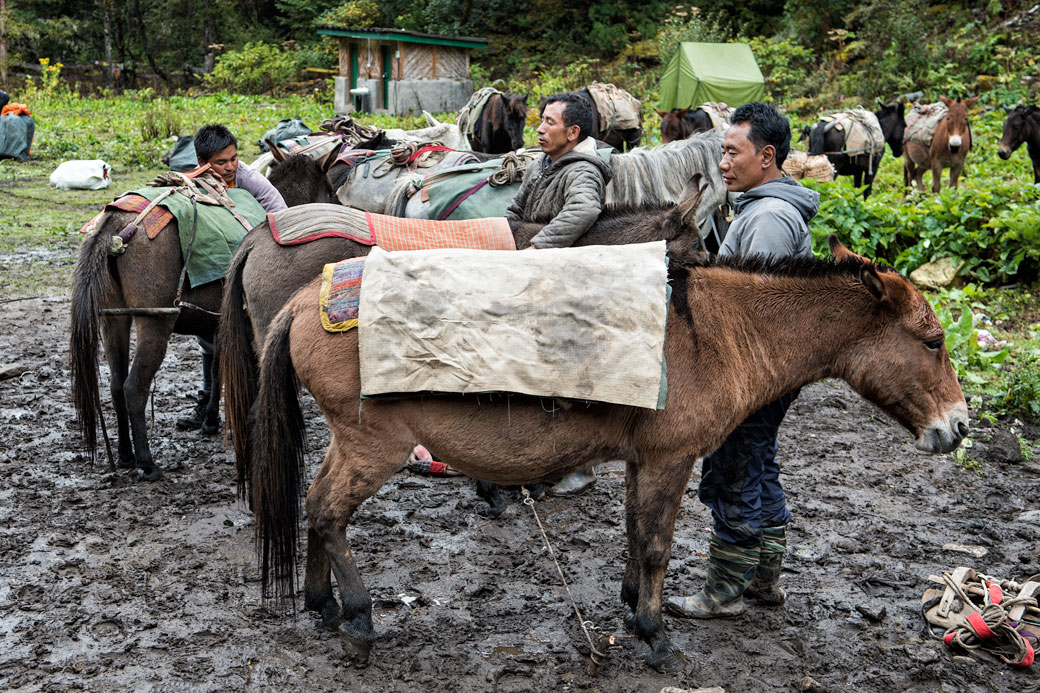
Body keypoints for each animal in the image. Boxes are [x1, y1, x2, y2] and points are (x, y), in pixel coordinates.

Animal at [68, 155, 312, 480]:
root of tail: (117, 227)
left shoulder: (219, 324)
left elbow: (217, 367)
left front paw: (209, 419)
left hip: (113, 320)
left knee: (117, 386)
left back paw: (125, 455)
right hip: (155, 322)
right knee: (134, 387)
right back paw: (147, 463)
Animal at [249, 236, 965, 670]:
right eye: (933, 342)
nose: (958, 426)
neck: (718, 332)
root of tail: (306, 300)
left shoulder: (643, 459)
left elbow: (634, 532)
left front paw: (630, 604)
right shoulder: (672, 459)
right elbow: (657, 546)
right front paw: (656, 636)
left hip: (353, 444)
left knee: (315, 505)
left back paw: (321, 604)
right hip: (374, 446)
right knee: (327, 510)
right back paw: (358, 616)